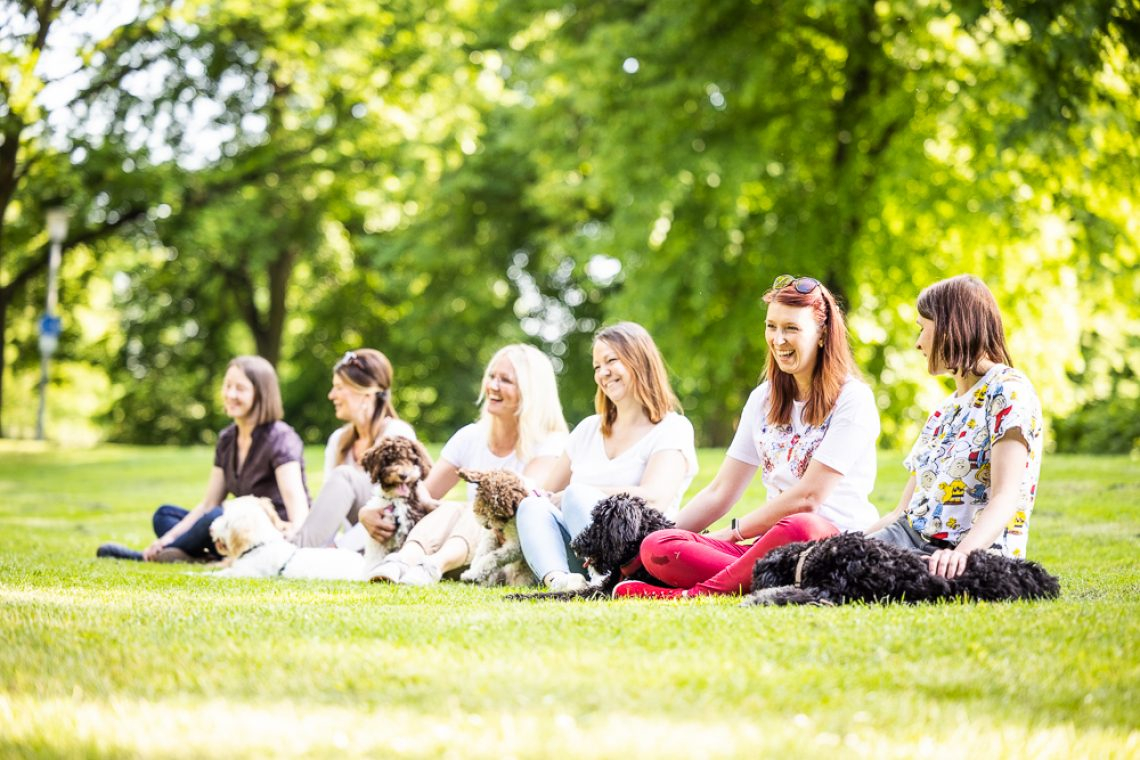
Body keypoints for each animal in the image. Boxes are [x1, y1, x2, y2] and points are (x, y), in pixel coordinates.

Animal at [510, 494, 674, 601]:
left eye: (598, 523)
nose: (574, 544)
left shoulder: (604, 593)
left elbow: (568, 594)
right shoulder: (602, 587)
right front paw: (518, 595)